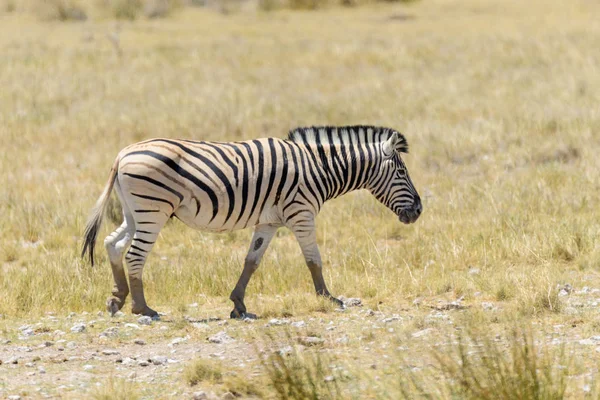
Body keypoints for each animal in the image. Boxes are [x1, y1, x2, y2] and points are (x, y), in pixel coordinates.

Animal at [81, 125, 422, 318]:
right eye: (402, 172)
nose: (418, 211)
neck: (320, 168)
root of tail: (124, 153)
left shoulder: (269, 222)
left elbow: (252, 261)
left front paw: (238, 304)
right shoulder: (301, 213)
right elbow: (314, 259)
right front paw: (328, 298)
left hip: (134, 211)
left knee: (113, 244)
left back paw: (118, 299)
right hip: (154, 210)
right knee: (135, 255)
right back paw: (143, 308)